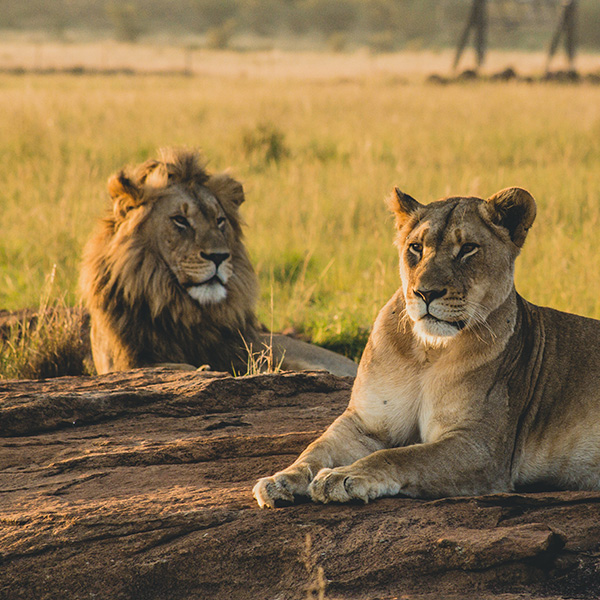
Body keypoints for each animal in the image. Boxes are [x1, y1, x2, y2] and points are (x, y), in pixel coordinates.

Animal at [82, 148, 358, 378]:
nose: (219, 256)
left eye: (219, 220)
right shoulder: (122, 361)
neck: (177, 307)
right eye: (180, 220)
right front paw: (200, 368)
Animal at [255, 188, 600, 506]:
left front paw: (343, 476)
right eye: (416, 248)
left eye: (468, 249)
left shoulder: (480, 447)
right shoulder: (365, 423)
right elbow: (317, 448)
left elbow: (402, 456)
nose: (425, 293)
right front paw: (281, 479)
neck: (428, 352)